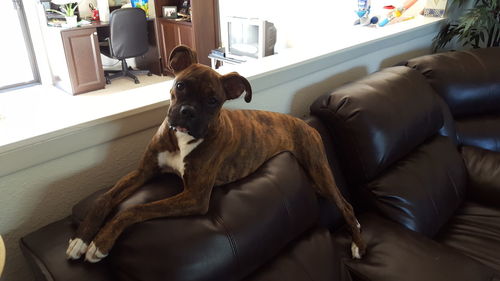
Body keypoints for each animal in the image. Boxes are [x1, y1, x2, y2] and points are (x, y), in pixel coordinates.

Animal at [66, 44, 366, 262]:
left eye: (213, 101)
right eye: (180, 86)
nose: (188, 112)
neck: (184, 138)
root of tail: (305, 124)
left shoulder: (194, 197)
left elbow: (135, 209)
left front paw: (101, 242)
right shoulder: (144, 171)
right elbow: (105, 199)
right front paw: (81, 238)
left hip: (320, 172)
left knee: (347, 206)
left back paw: (358, 245)